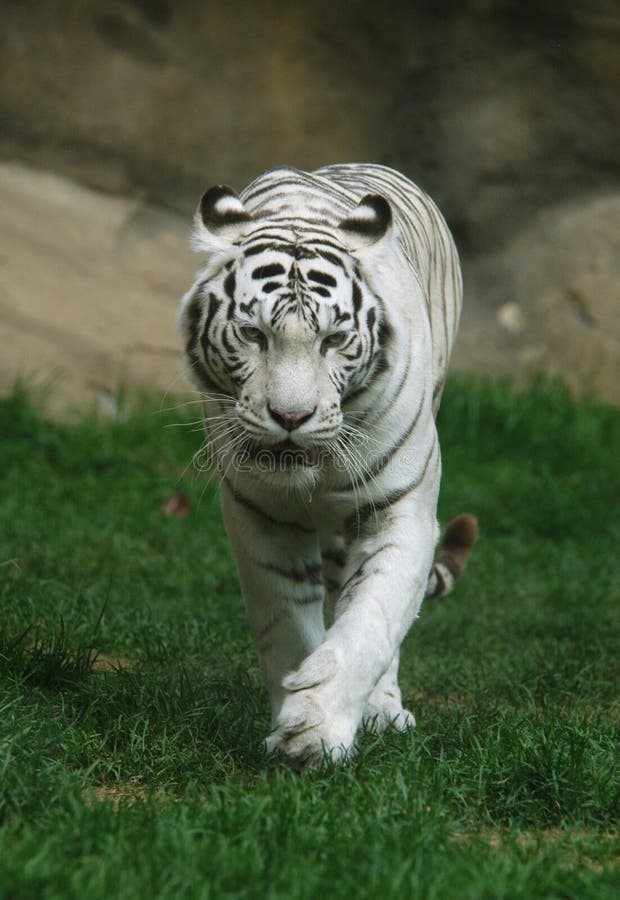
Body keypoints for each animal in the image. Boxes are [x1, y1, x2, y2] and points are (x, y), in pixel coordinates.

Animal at [177, 162, 478, 768]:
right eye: (253, 334)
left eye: (334, 340)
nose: (291, 415)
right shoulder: (257, 515)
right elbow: (286, 621)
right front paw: (294, 720)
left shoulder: (401, 510)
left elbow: (373, 620)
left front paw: (317, 732)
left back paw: (384, 711)